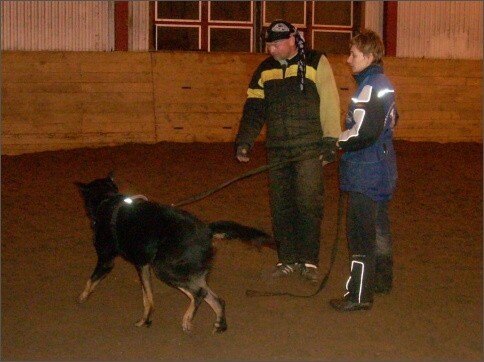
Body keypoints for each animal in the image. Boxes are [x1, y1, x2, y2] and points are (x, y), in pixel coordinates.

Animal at [76, 173, 272, 334]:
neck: (107, 201)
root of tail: (208, 229)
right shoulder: (143, 265)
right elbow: (148, 297)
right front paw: (145, 320)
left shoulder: (106, 260)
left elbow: (90, 280)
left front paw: (82, 297)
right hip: (190, 272)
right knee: (215, 298)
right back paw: (220, 324)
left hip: (165, 268)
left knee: (199, 294)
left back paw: (188, 320)